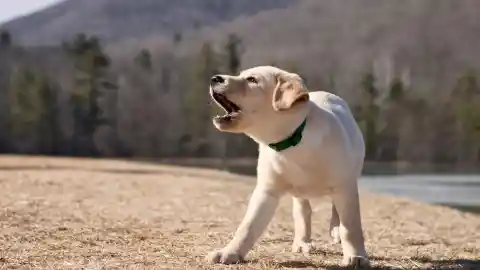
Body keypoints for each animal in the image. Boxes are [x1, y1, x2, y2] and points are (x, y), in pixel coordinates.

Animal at [205, 66, 368, 268]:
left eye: (252, 80)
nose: (214, 78)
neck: (292, 142)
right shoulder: (267, 190)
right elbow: (248, 225)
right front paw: (230, 252)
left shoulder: (344, 187)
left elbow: (350, 226)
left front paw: (356, 256)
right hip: (300, 193)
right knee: (303, 212)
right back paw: (302, 242)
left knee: (335, 211)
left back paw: (335, 230)